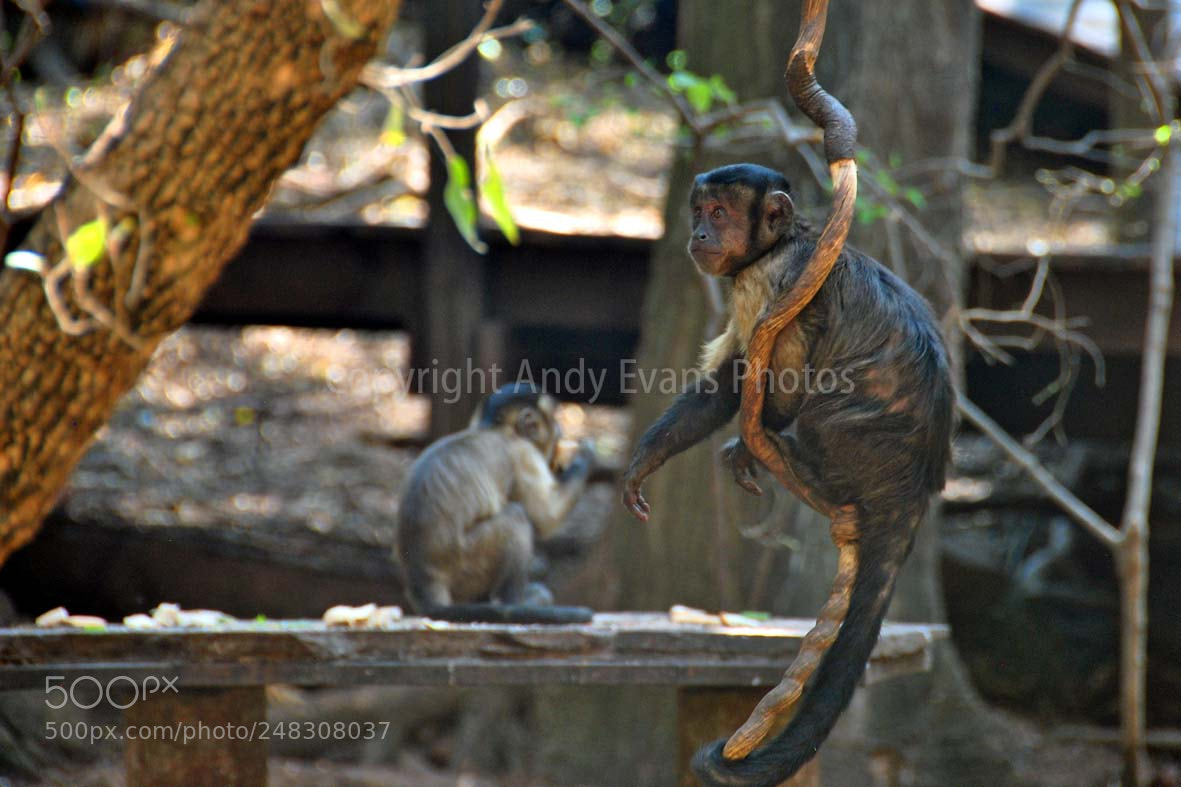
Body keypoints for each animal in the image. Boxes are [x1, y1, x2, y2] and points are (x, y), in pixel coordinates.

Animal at [395, 382, 596, 624]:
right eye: (555, 425)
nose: (561, 430)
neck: (495, 429)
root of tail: (423, 580)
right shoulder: (523, 453)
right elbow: (547, 518)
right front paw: (584, 456)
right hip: (465, 562)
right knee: (516, 518)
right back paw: (515, 605)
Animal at [621, 163, 954, 786]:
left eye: (719, 214)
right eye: (697, 212)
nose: (699, 234)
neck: (786, 241)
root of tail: (915, 484)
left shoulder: (770, 278)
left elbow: (783, 380)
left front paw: (756, 435)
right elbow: (727, 381)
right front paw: (647, 458)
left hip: (862, 451)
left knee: (821, 410)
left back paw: (799, 464)